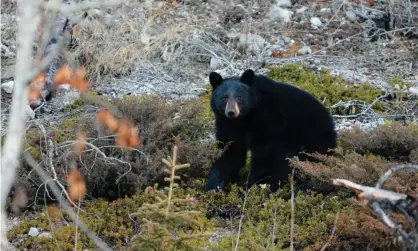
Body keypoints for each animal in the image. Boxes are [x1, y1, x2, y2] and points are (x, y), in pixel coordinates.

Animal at [204, 68, 338, 192]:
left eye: (239, 97)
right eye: (224, 97)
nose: (231, 112)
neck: (245, 119)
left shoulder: (269, 121)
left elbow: (265, 156)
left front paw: (250, 187)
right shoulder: (227, 124)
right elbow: (230, 150)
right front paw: (212, 185)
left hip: (311, 141)